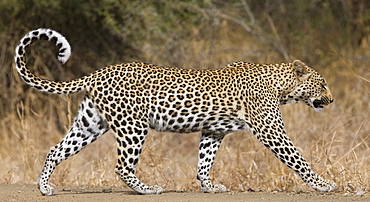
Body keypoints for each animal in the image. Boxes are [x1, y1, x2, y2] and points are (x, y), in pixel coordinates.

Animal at [13, 28, 336, 196]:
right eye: (322, 83)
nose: (332, 100)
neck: (281, 87)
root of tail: (98, 73)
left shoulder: (213, 130)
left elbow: (204, 161)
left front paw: (209, 186)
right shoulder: (271, 131)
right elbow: (299, 159)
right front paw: (323, 184)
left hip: (91, 123)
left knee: (55, 149)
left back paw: (44, 187)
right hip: (133, 127)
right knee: (121, 166)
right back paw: (147, 189)